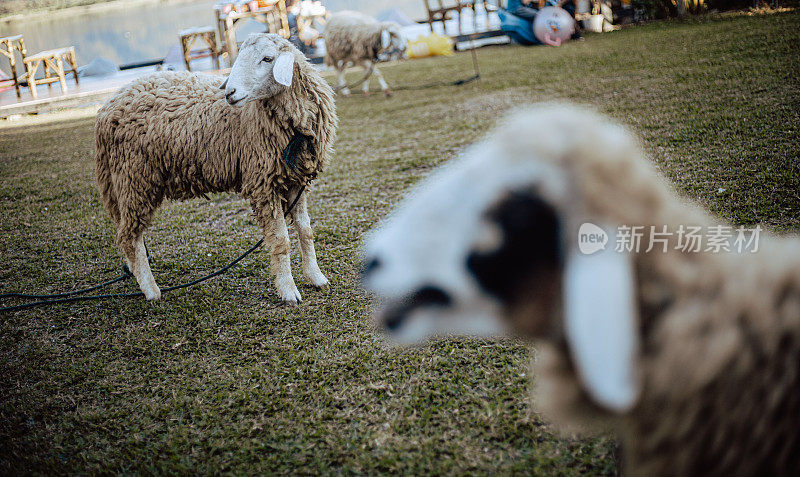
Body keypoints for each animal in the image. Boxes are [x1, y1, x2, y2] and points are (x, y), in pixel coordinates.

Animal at [96, 35, 338, 306]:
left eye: (267, 58)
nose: (229, 92)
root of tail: (106, 109)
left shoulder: (297, 179)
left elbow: (305, 231)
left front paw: (316, 277)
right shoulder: (263, 183)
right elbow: (280, 240)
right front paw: (288, 291)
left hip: (125, 182)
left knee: (125, 233)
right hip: (134, 178)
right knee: (129, 236)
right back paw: (151, 290)